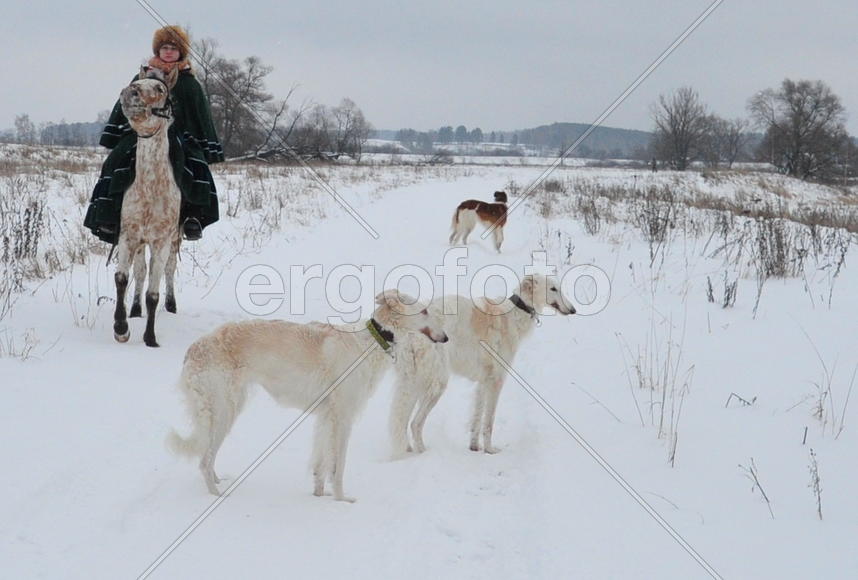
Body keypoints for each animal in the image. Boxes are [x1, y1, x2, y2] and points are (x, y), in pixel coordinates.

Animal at [167, 292, 448, 500]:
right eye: (424, 311)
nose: (445, 338)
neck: (366, 343)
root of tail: (194, 349)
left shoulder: (326, 417)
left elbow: (321, 465)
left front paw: (319, 495)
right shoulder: (343, 417)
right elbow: (338, 466)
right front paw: (342, 500)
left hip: (225, 409)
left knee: (208, 458)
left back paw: (219, 480)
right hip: (223, 410)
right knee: (204, 460)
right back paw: (217, 494)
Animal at [392, 274, 572, 456]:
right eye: (553, 289)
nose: (573, 310)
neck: (513, 313)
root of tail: (410, 333)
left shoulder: (483, 381)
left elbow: (477, 419)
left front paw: (474, 447)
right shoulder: (496, 381)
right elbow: (489, 422)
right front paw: (490, 450)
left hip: (413, 382)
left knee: (402, 422)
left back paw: (408, 450)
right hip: (436, 383)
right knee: (415, 423)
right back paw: (422, 452)